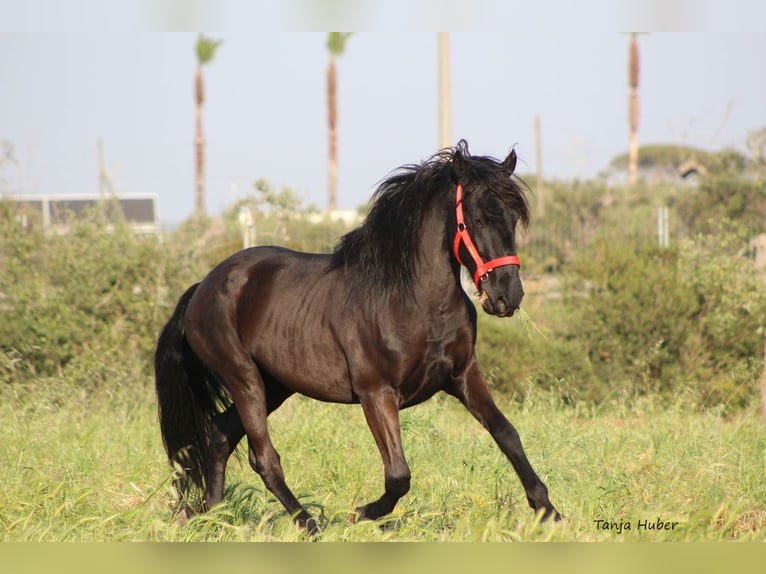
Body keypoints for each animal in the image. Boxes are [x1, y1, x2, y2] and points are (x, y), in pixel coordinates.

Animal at [156, 141, 560, 536]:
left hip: (275, 385)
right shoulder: (376, 394)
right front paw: (361, 514)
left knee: (221, 433)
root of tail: (202, 287)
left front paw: (548, 512)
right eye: (476, 219)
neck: (412, 301)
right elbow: (398, 475)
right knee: (264, 458)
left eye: (513, 218)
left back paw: (213, 517)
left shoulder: (463, 376)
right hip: (245, 381)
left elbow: (507, 434)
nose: (507, 296)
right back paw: (309, 525)